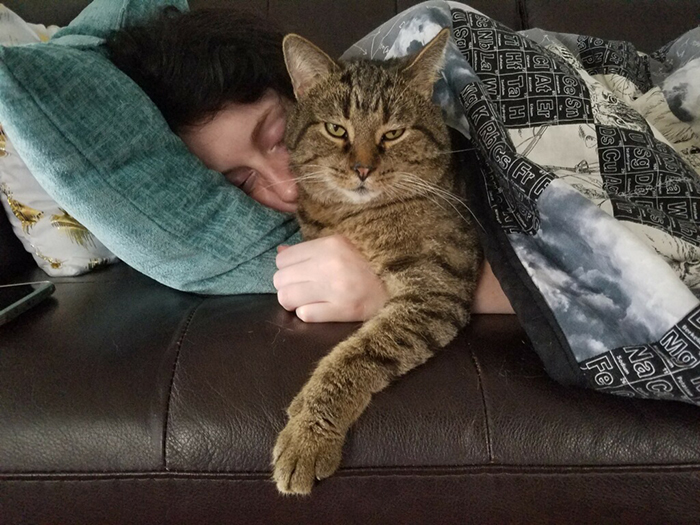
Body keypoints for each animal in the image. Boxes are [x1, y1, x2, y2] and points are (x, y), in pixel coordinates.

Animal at [274, 29, 482, 496]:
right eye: (336, 129)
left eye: (394, 133)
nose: (363, 169)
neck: (349, 217)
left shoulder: (436, 290)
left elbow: (355, 356)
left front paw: (307, 436)